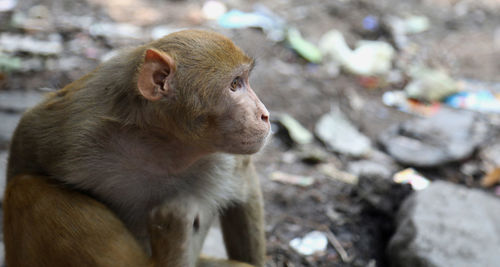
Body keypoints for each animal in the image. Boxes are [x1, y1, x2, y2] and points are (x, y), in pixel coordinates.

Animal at [2, 29, 270, 267]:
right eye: (235, 84)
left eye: (243, 81)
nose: (265, 115)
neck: (163, 144)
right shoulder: (72, 131)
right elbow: (26, 142)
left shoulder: (226, 158)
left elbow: (246, 187)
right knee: (26, 187)